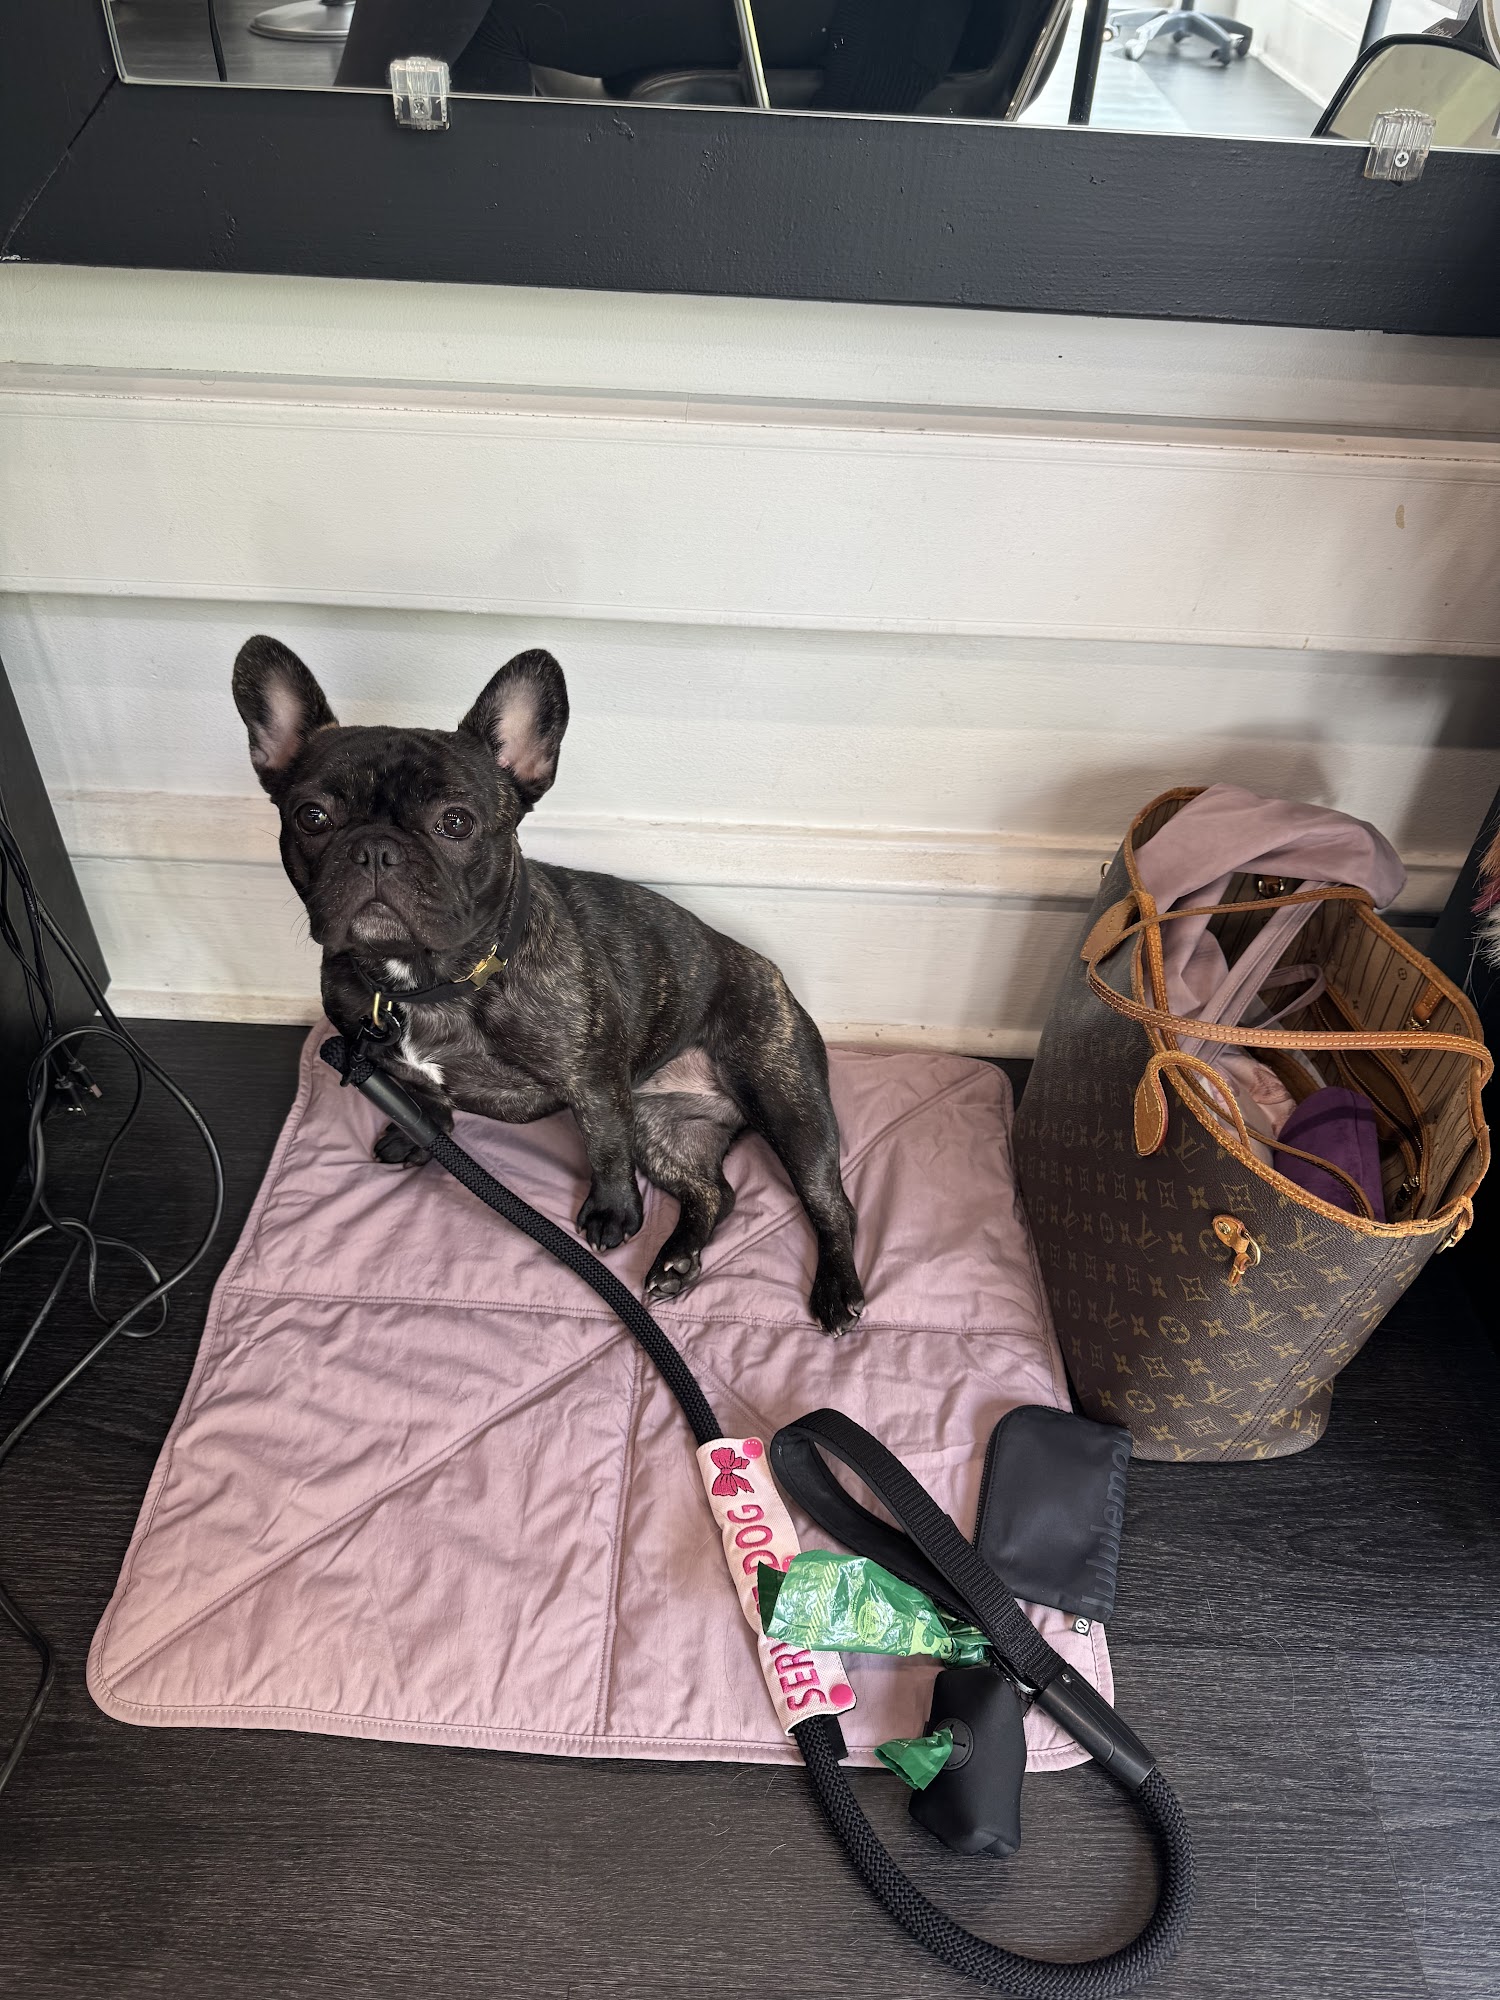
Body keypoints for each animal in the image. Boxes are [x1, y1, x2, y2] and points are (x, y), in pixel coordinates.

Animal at [232, 637, 865, 1333]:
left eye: (456, 823)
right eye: (312, 816)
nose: (374, 848)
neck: (434, 982)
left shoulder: (595, 1089)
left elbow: (605, 1151)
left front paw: (614, 1214)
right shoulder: (384, 1055)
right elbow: (423, 1096)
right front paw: (418, 1131)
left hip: (786, 1100)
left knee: (830, 1201)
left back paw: (836, 1288)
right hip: (661, 1125)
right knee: (714, 1192)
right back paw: (677, 1258)